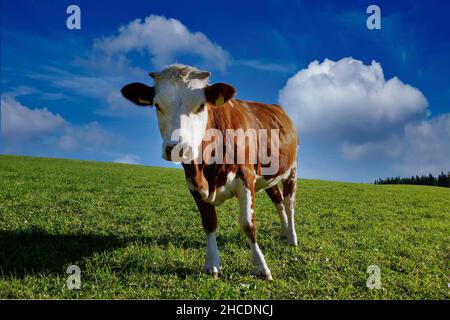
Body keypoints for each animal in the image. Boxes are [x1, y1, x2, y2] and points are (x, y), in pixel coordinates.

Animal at [121, 65, 300, 280]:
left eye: (201, 105)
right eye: (157, 105)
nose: (177, 148)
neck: (207, 171)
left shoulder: (246, 177)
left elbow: (248, 224)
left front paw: (261, 267)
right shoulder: (193, 184)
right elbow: (209, 222)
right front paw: (212, 264)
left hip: (291, 169)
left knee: (289, 203)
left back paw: (292, 237)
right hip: (268, 176)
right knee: (278, 201)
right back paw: (284, 232)